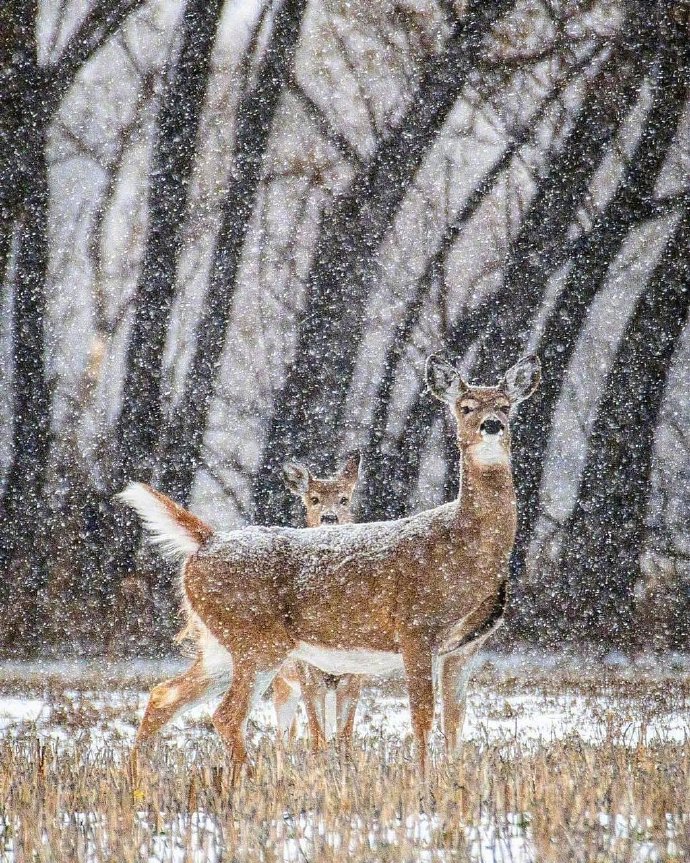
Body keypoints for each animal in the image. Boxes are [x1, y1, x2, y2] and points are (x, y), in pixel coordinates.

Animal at [272, 452, 362, 748]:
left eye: (344, 498)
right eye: (313, 499)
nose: (329, 517)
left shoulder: (353, 678)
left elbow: (344, 739)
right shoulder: (309, 675)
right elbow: (318, 740)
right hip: (283, 683)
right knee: (281, 737)